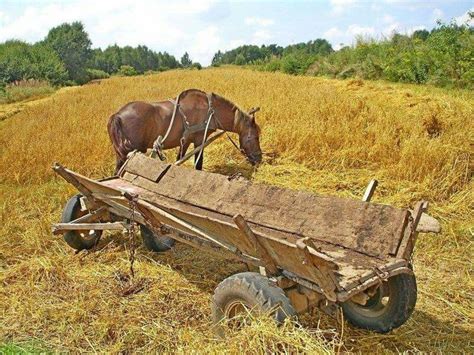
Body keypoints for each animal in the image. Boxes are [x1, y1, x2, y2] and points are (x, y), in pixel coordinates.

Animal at [108, 88, 262, 173]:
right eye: (254, 137)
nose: (259, 159)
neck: (210, 111)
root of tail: (117, 115)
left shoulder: (186, 140)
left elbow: (179, 159)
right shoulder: (199, 140)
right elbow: (198, 164)